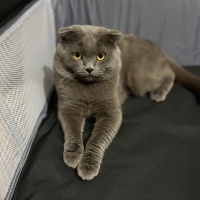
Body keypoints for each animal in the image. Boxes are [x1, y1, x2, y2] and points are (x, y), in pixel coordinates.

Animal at [53, 24, 200, 180]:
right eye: (77, 55)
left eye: (101, 56)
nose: (89, 68)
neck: (88, 89)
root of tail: (154, 45)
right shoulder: (67, 108)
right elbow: (72, 131)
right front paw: (72, 156)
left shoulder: (112, 112)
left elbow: (97, 139)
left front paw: (87, 167)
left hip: (138, 78)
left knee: (169, 73)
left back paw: (159, 93)